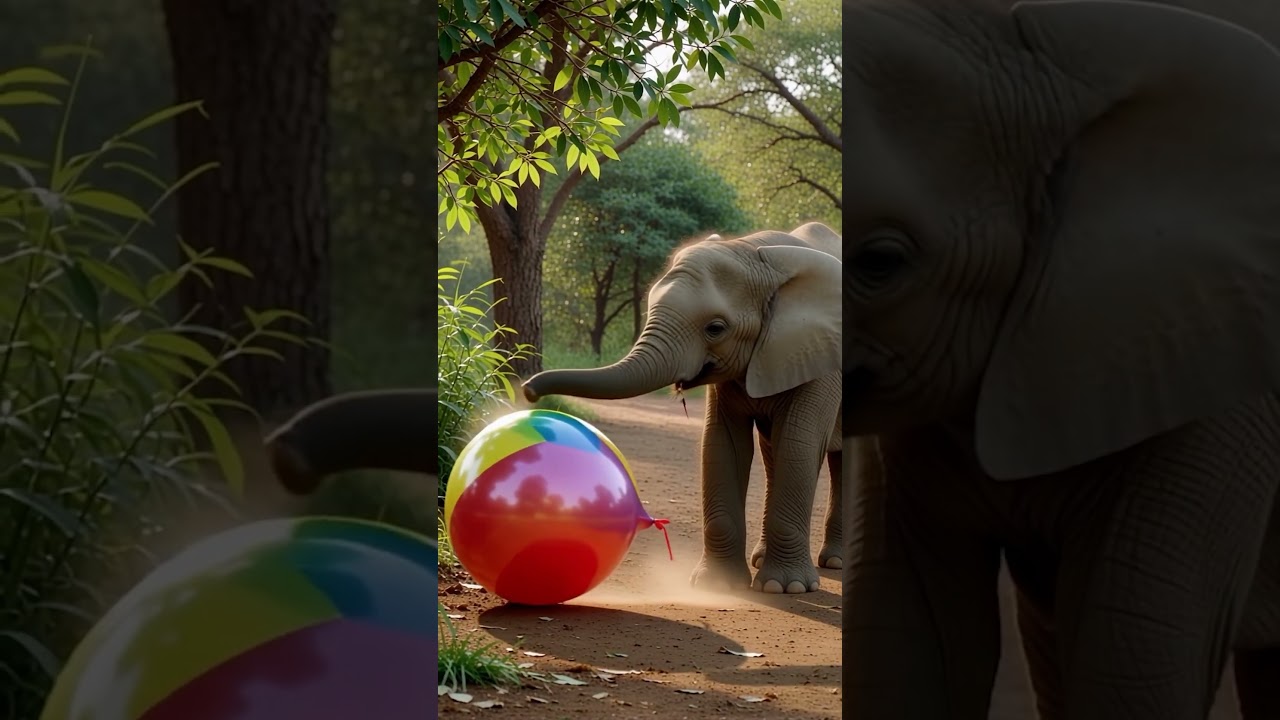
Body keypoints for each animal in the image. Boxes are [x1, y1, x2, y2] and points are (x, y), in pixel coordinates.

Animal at [521, 223, 843, 594]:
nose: (528, 391)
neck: (754, 252)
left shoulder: (820, 355)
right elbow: (721, 444)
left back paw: (835, 563)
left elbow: (798, 443)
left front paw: (783, 588)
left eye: (715, 328)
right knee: (775, 451)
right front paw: (716, 586)